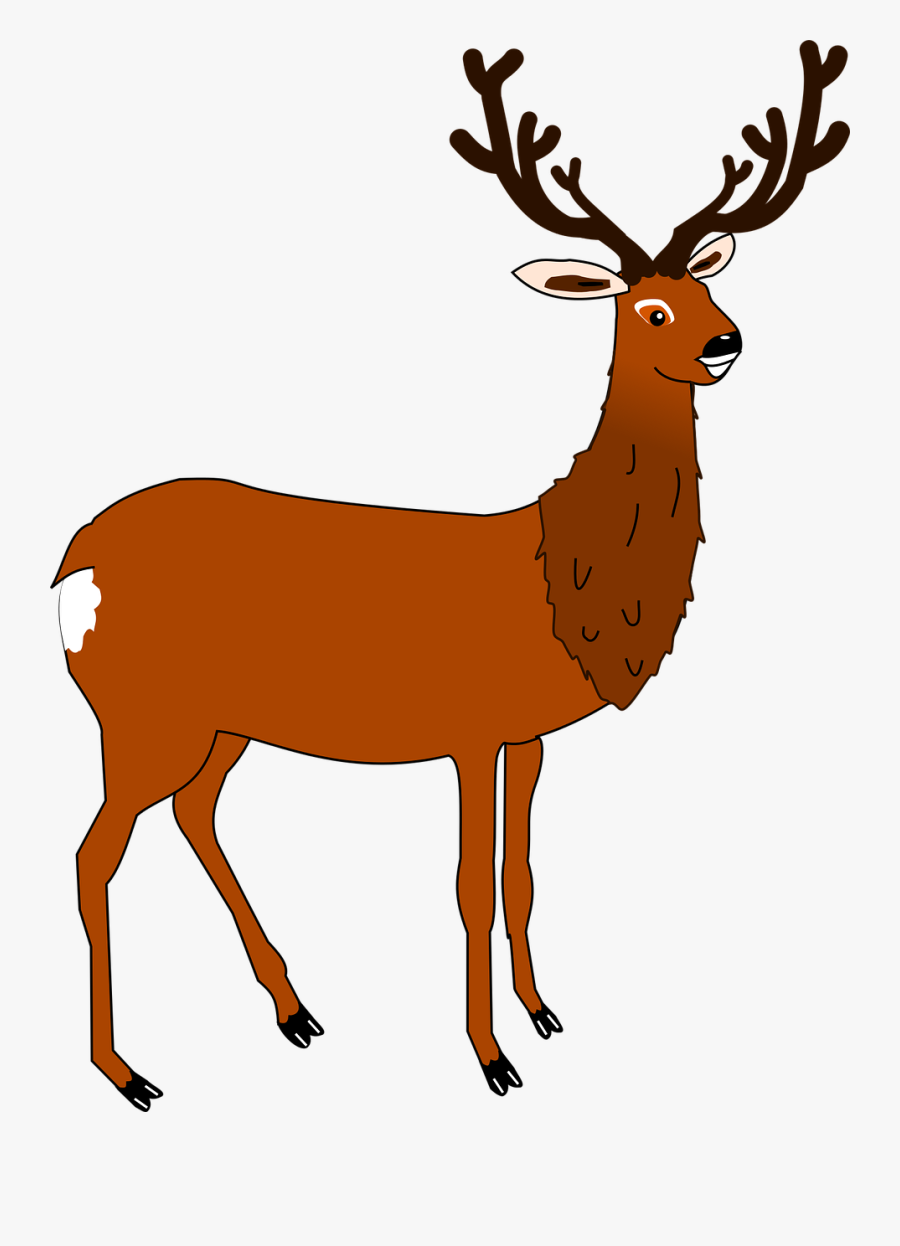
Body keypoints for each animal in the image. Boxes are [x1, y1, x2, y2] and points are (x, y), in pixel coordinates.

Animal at [54, 42, 848, 1109]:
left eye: (708, 291)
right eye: (649, 308)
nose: (727, 341)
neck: (559, 580)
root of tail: (69, 566)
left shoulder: (529, 735)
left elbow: (523, 876)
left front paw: (545, 1014)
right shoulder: (469, 731)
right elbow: (471, 887)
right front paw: (491, 1059)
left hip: (219, 723)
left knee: (193, 813)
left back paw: (296, 1012)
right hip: (142, 714)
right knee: (94, 855)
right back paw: (127, 1071)